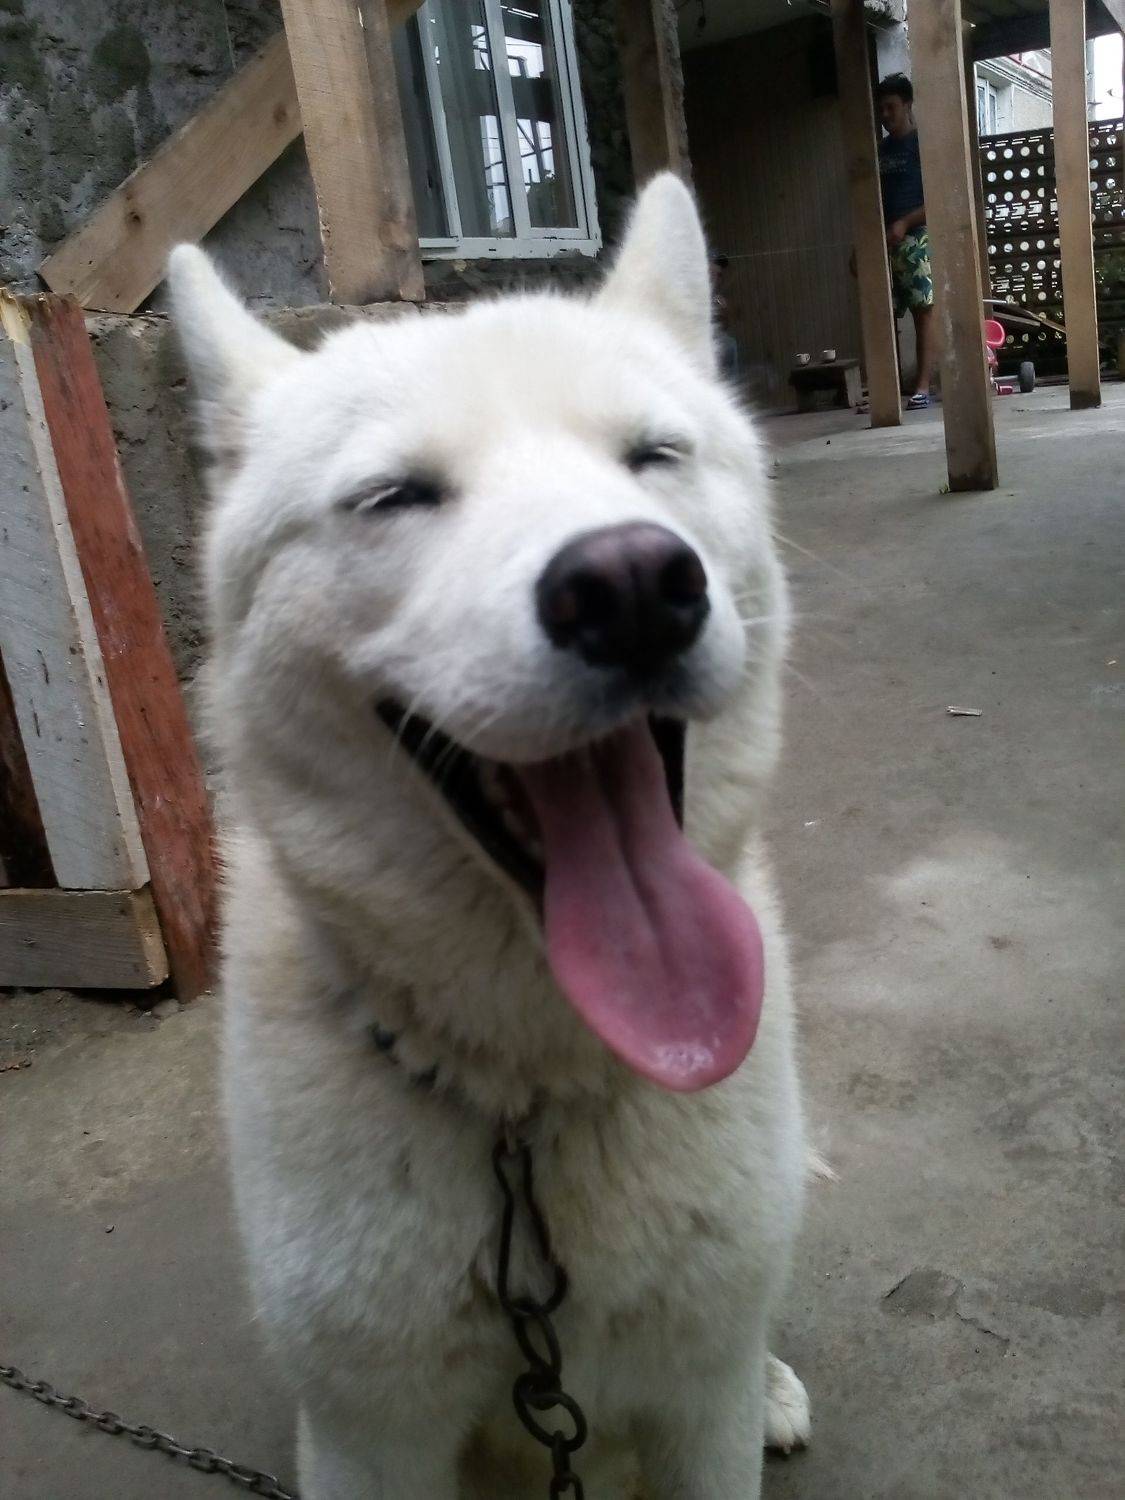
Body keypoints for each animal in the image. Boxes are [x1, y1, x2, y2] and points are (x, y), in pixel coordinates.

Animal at [169, 174, 809, 1499]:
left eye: (653, 455)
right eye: (395, 496)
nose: (632, 586)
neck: (525, 1097)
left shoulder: (699, 1411)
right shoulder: (369, 1437)